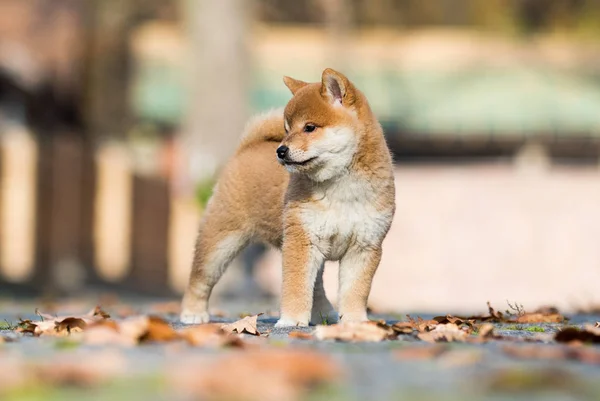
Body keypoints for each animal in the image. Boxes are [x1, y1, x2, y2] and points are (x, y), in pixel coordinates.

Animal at [180, 68, 396, 324]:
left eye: (309, 127)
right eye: (287, 129)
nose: (281, 150)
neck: (341, 186)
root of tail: (246, 148)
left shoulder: (364, 246)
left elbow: (355, 290)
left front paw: (354, 321)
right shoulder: (301, 239)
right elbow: (295, 286)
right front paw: (291, 320)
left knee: (316, 285)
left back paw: (324, 313)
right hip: (220, 242)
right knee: (200, 279)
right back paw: (193, 313)